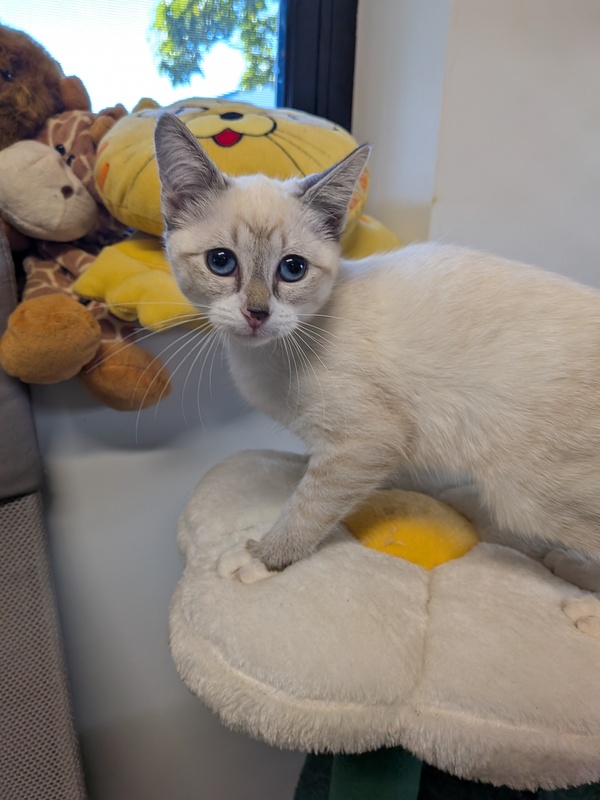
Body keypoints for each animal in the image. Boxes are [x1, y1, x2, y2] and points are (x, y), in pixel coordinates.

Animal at [154, 112, 600, 590]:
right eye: (221, 262)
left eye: (292, 269)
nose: (257, 313)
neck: (268, 356)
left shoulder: (368, 441)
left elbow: (309, 505)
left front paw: (264, 557)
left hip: (530, 497)